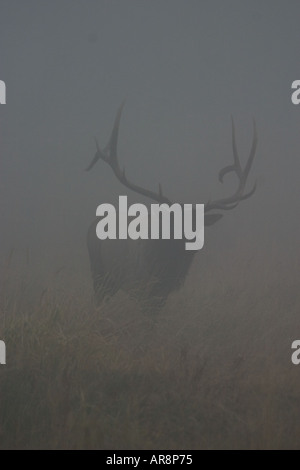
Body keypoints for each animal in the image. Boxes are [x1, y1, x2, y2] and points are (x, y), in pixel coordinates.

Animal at [85, 103, 256, 310]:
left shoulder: (162, 293)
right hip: (98, 271)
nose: (192, 241)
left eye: (198, 223)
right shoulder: (139, 286)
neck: (165, 268)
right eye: (174, 221)